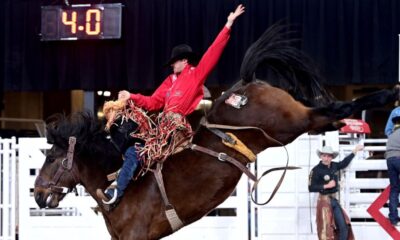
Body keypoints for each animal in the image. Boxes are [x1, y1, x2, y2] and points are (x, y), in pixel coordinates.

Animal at [33, 23, 400, 238]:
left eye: (50, 159)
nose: (36, 195)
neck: (116, 182)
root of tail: (248, 82)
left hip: (288, 123)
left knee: (328, 111)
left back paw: (384, 96)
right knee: (329, 113)